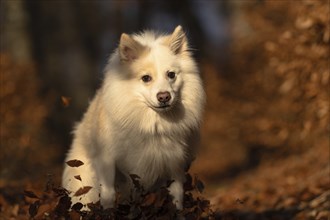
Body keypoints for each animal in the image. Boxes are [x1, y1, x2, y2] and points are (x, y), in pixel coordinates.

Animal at [62, 25, 205, 210]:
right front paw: (108, 212)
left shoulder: (175, 164)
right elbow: (108, 193)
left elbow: (177, 196)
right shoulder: (107, 161)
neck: (152, 125)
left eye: (171, 75)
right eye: (146, 78)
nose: (164, 97)